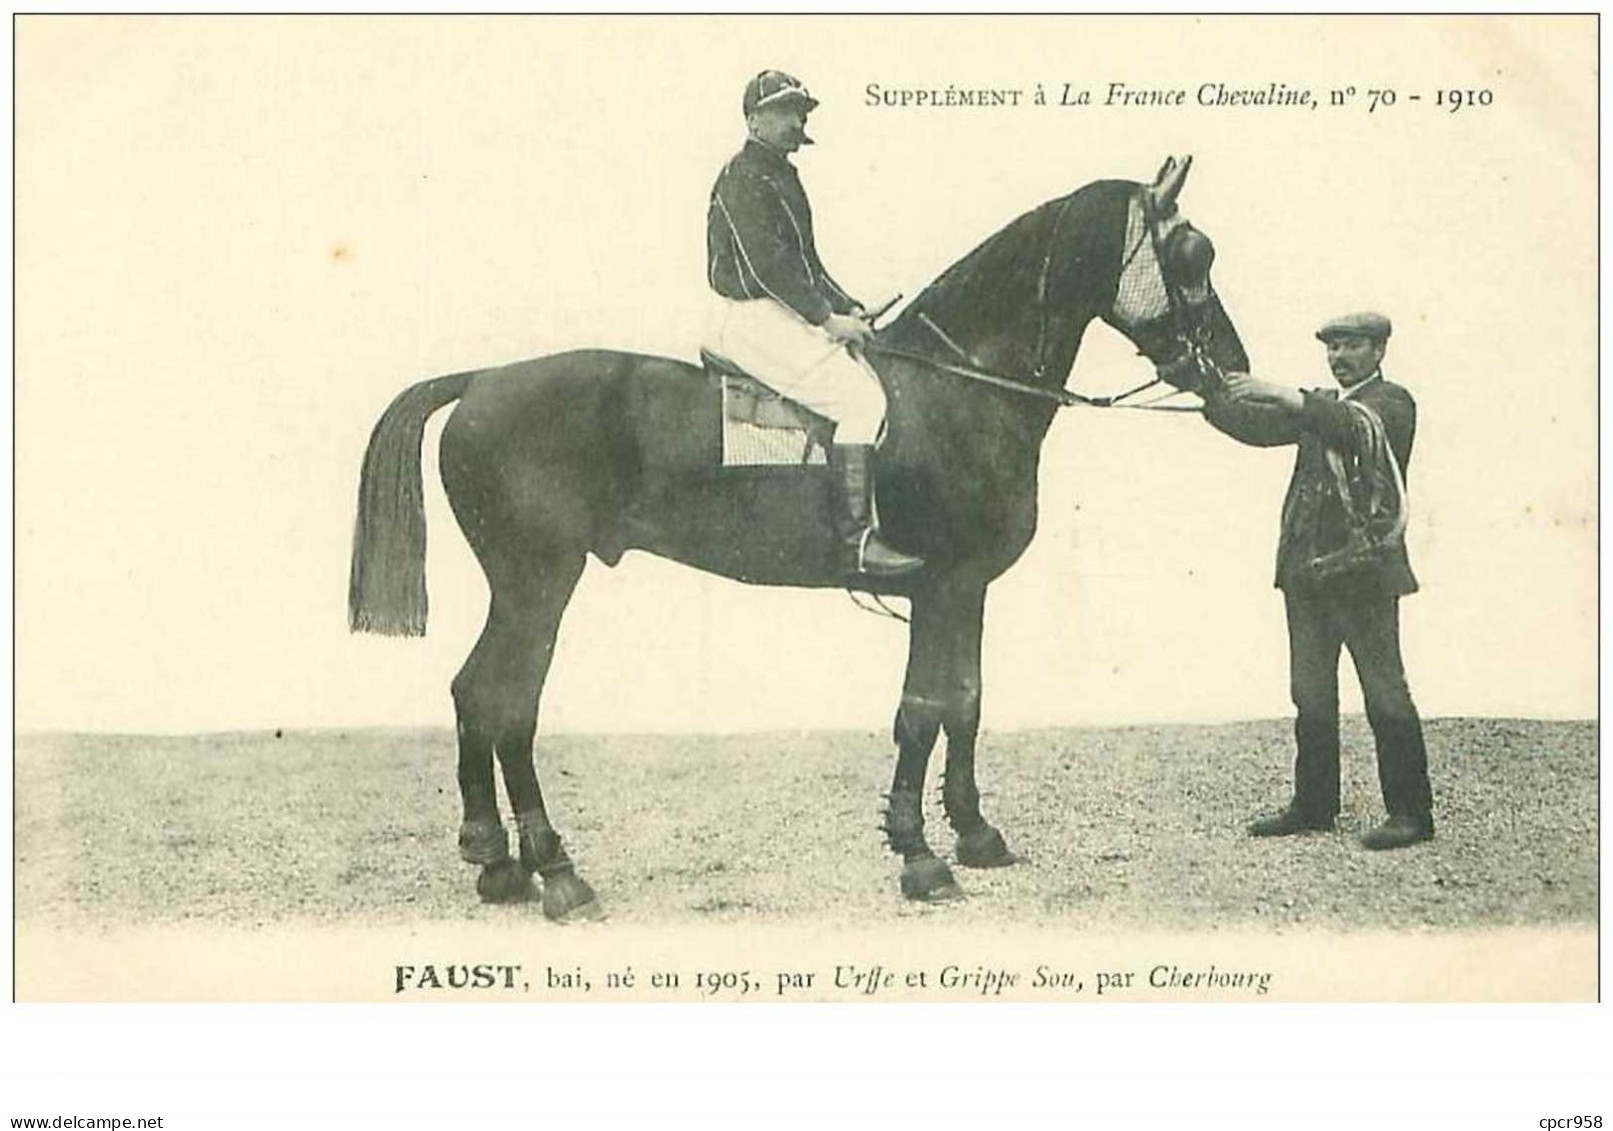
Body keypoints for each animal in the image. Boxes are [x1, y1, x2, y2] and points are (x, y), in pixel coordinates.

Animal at [346, 156, 1238, 916]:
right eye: (1192, 253)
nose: (1229, 367)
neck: (956, 388)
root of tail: (482, 382)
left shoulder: (967, 589)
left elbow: (965, 702)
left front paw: (975, 833)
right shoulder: (940, 584)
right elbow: (921, 710)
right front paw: (919, 855)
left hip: (521, 585)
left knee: (474, 694)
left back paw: (496, 861)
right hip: (538, 582)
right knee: (507, 704)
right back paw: (557, 871)